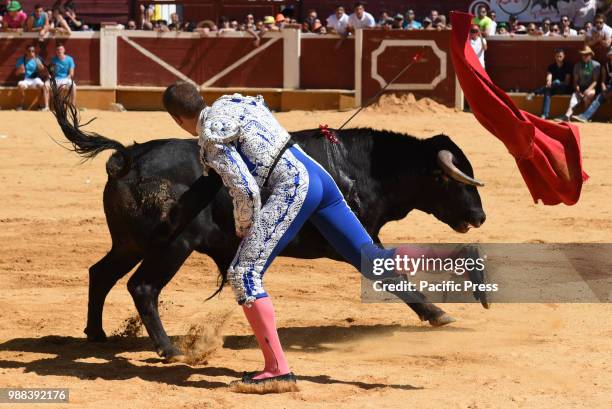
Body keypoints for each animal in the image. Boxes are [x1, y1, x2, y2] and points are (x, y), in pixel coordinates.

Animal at [51, 93, 488, 360]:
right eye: (454, 181)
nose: (480, 217)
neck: (367, 167)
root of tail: (128, 157)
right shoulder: (352, 239)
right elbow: (389, 271)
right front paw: (437, 314)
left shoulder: (360, 236)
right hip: (172, 247)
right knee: (142, 287)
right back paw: (169, 349)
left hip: (129, 243)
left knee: (101, 273)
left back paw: (96, 333)